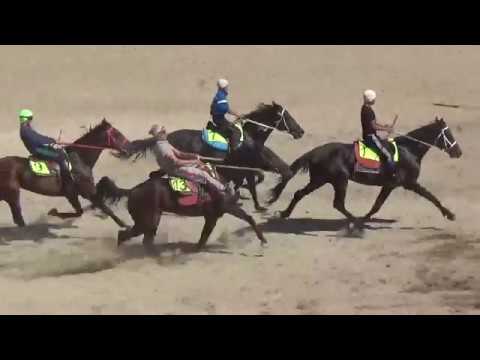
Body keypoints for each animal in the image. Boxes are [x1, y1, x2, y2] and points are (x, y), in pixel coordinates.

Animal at [0, 119, 135, 229]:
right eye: (117, 134)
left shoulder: (76, 194)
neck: (80, 159)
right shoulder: (83, 193)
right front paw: (125, 225)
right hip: (12, 193)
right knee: (18, 218)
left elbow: (83, 211)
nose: (129, 148)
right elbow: (101, 210)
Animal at [94, 174, 266, 253]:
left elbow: (205, 235)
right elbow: (248, 218)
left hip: (152, 219)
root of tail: (131, 191)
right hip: (147, 220)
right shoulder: (222, 210)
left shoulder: (214, 216)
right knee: (124, 235)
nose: (259, 177)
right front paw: (263, 240)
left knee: (145, 240)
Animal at [168, 101, 304, 211]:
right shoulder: (247, 169)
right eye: (286, 116)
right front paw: (259, 206)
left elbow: (248, 182)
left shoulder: (243, 170)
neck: (251, 137)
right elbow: (252, 186)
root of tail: (168, 136)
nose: (301, 131)